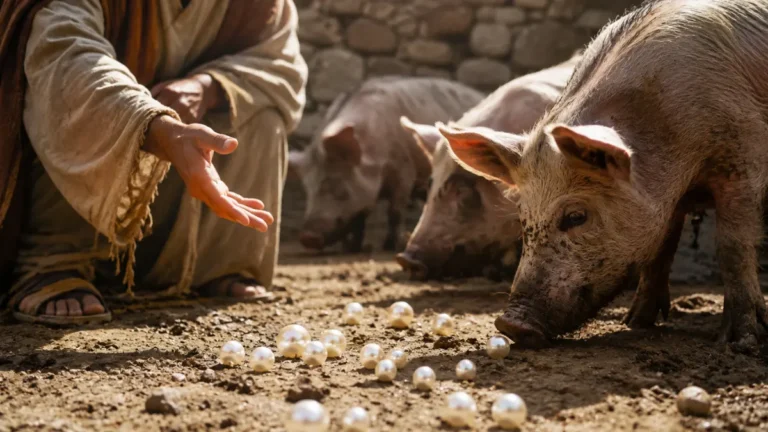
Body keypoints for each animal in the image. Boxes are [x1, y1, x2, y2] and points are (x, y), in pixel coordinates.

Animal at [289, 77, 483, 252]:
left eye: (340, 189)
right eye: (308, 191)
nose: (307, 237)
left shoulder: (404, 171)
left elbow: (394, 211)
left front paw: (390, 246)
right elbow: (359, 220)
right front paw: (353, 248)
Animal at [439, 0, 768, 352]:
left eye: (576, 216)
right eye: (522, 219)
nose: (510, 324)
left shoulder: (743, 161)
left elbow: (732, 246)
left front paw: (740, 343)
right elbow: (661, 249)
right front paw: (636, 323)